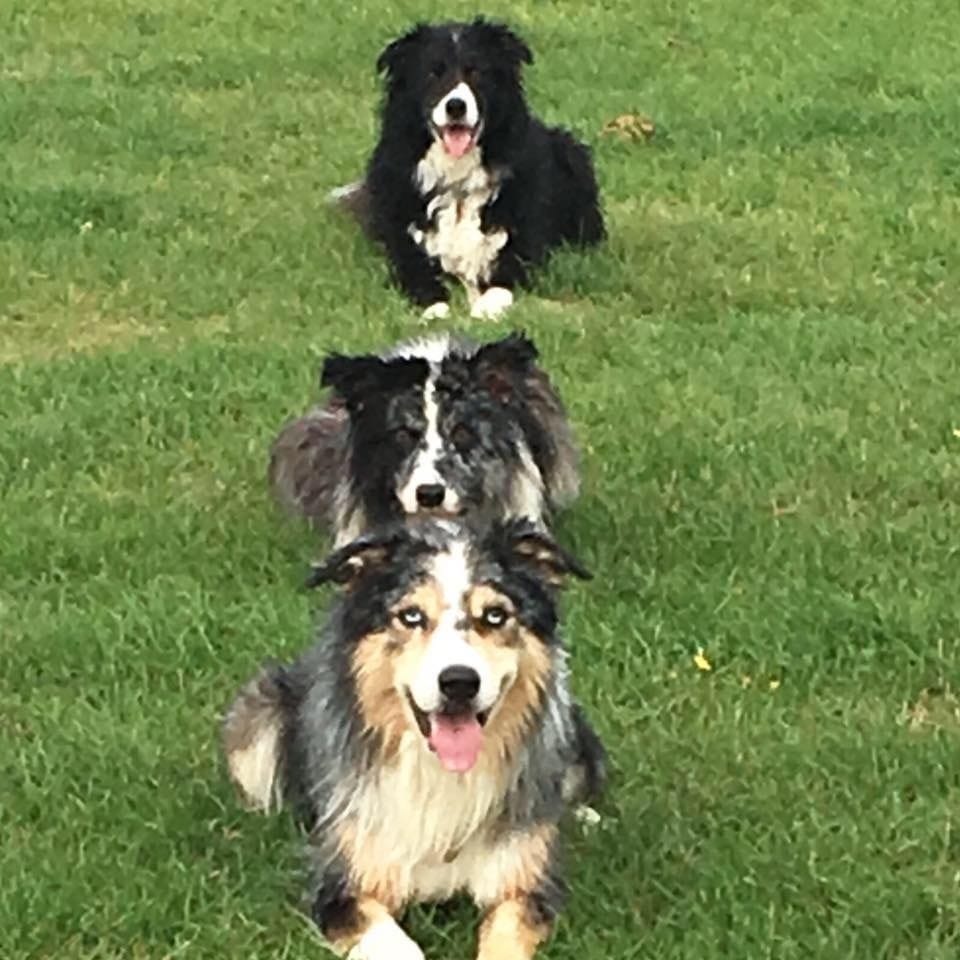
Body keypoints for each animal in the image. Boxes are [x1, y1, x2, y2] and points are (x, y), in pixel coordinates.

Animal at [334, 16, 604, 322]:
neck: (457, 182)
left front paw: (484, 309)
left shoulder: (520, 250)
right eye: (433, 73)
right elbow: (421, 282)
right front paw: (436, 309)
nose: (455, 106)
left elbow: (501, 285)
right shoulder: (406, 251)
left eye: (476, 72)